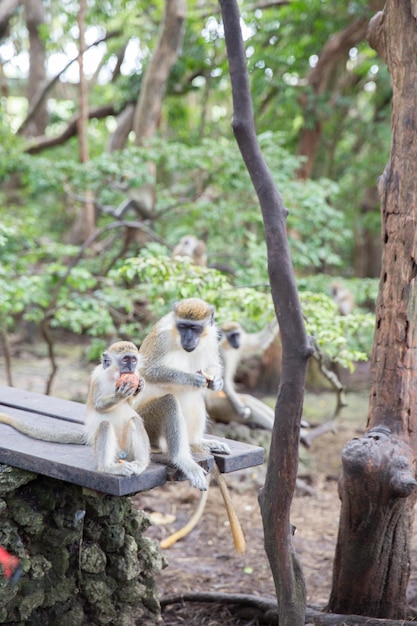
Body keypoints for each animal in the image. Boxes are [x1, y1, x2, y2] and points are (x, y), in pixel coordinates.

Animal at [0, 338, 151, 476]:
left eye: (134, 360)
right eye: (125, 360)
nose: (131, 368)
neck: (113, 376)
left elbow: (131, 404)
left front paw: (140, 386)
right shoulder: (97, 378)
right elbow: (98, 406)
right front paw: (119, 395)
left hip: (127, 450)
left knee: (135, 420)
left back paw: (141, 463)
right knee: (105, 425)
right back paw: (107, 468)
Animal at [133, 294, 229, 490]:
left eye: (194, 328)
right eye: (183, 327)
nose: (188, 339)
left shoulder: (212, 336)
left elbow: (213, 365)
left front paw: (217, 382)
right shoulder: (161, 336)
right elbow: (148, 371)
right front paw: (190, 378)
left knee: (197, 397)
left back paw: (197, 441)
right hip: (145, 420)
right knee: (169, 402)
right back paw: (183, 460)